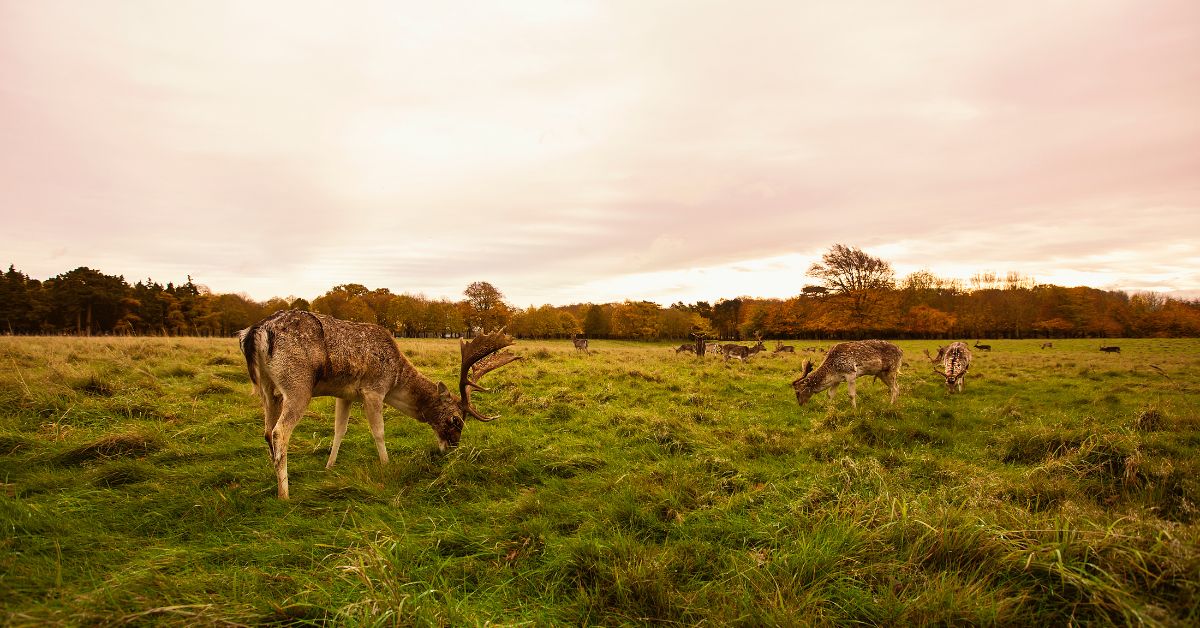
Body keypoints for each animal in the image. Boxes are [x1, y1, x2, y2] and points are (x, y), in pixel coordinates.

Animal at [238, 309, 520, 501]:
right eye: (455, 419)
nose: (451, 448)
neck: (395, 379)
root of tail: (255, 332)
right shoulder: (374, 390)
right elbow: (379, 431)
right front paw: (386, 465)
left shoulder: (345, 394)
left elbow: (339, 430)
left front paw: (329, 467)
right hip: (298, 386)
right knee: (279, 432)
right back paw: (284, 493)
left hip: (268, 389)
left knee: (267, 431)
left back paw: (274, 478)